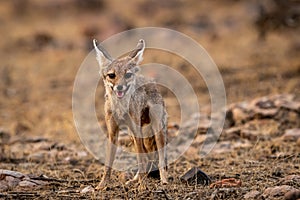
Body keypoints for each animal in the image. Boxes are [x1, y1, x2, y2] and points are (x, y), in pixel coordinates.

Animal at [93, 38, 168, 189]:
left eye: (127, 75)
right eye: (112, 75)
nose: (119, 87)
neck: (121, 108)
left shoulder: (137, 131)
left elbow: (141, 160)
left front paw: (143, 187)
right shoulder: (112, 133)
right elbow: (108, 165)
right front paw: (102, 185)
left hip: (156, 132)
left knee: (159, 161)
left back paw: (163, 181)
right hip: (132, 134)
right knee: (146, 159)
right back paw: (134, 180)